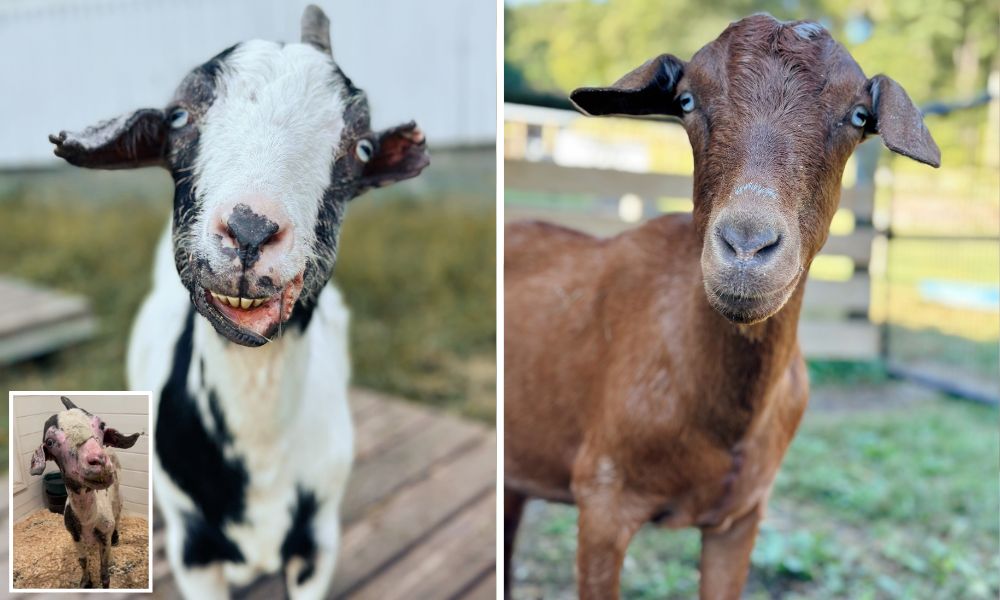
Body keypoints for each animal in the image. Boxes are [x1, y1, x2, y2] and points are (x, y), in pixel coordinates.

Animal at [28, 396, 141, 589]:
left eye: (101, 425)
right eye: (50, 442)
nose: (99, 461)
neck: (88, 518)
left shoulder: (104, 535)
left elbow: (104, 570)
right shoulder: (75, 536)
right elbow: (82, 561)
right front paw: (86, 582)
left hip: (118, 496)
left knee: (118, 514)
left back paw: (117, 537)